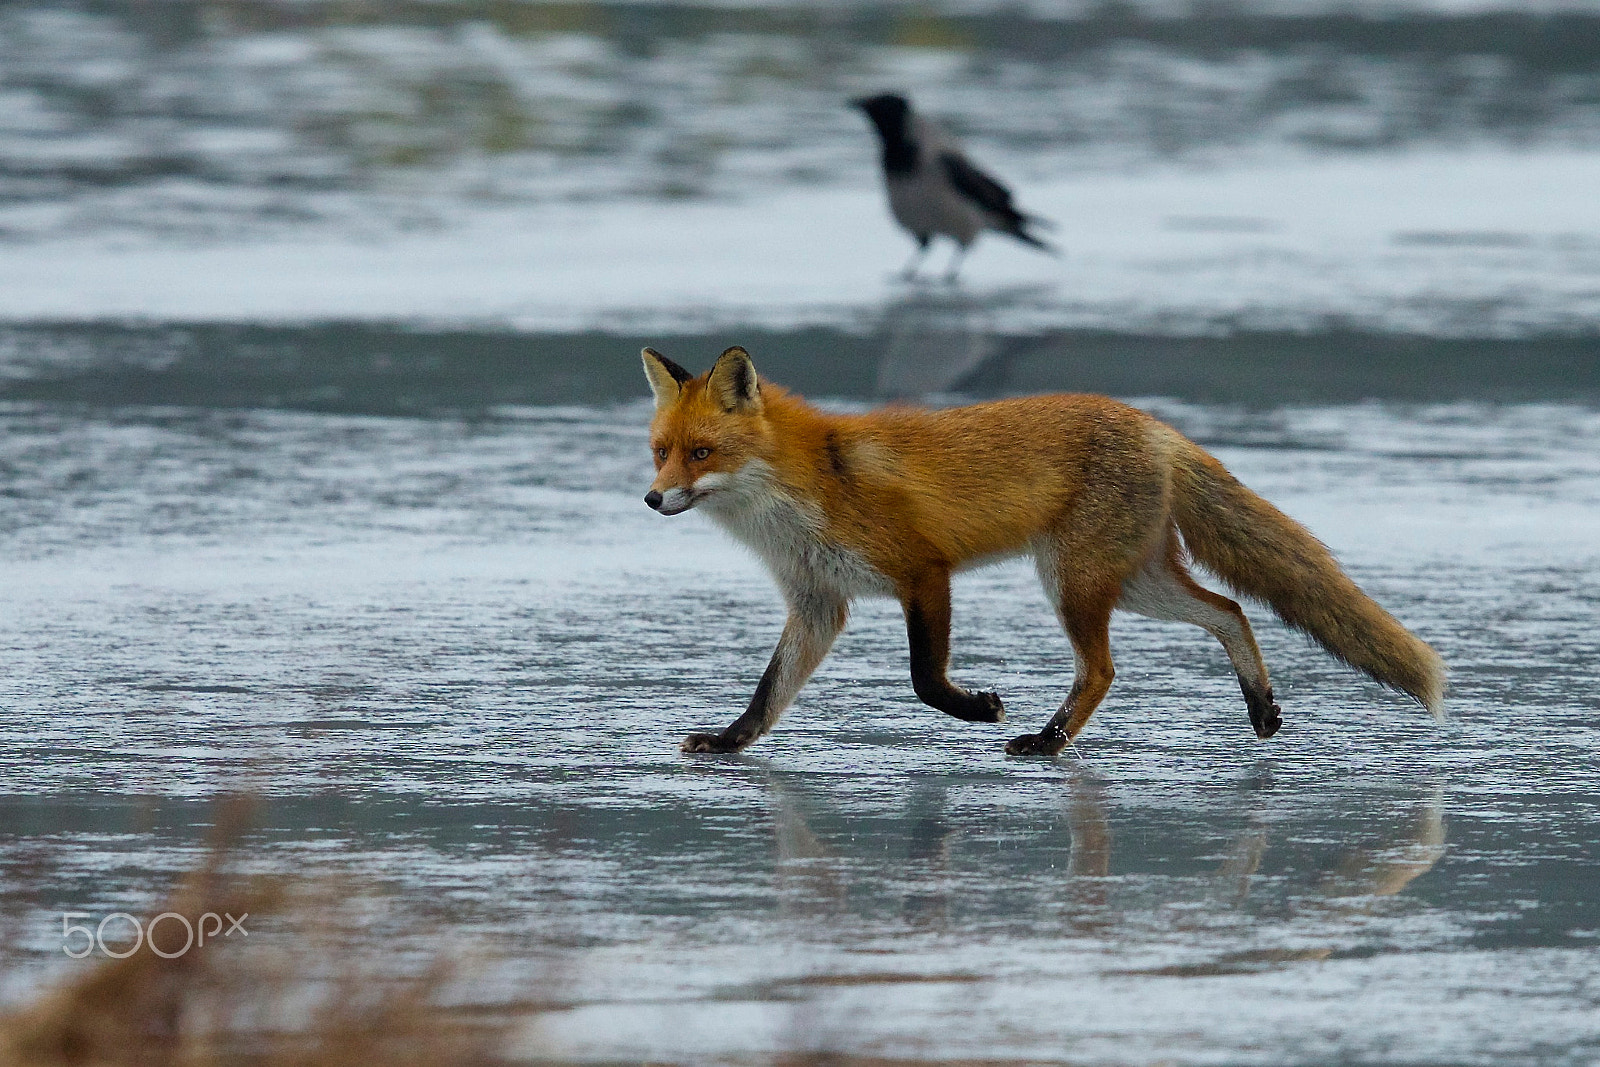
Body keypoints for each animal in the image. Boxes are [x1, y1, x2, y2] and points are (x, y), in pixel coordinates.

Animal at [640, 347, 1452, 755]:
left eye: (702, 452)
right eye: (660, 452)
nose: (651, 500)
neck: (808, 485)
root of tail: (1155, 426)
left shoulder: (922, 570)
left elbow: (923, 680)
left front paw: (980, 710)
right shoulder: (818, 603)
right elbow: (767, 693)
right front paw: (728, 742)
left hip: (1073, 579)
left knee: (1104, 669)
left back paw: (1047, 740)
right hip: (1134, 582)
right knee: (1229, 610)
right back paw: (1260, 706)